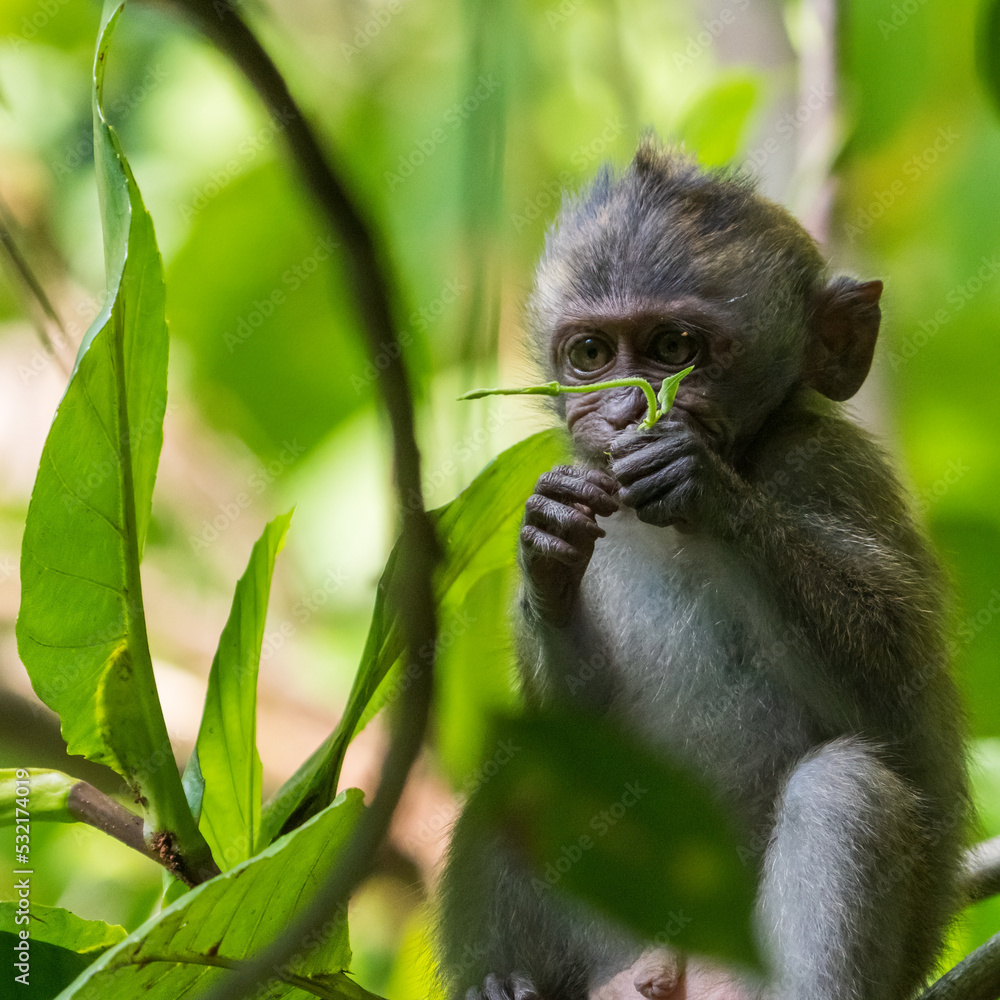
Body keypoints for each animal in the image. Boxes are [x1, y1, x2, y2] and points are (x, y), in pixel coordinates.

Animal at [438, 141, 968, 1000]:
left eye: (673, 349)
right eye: (591, 355)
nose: (626, 412)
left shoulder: (833, 468)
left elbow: (901, 704)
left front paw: (703, 486)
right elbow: (572, 722)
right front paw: (546, 553)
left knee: (845, 791)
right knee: (522, 770)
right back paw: (507, 987)